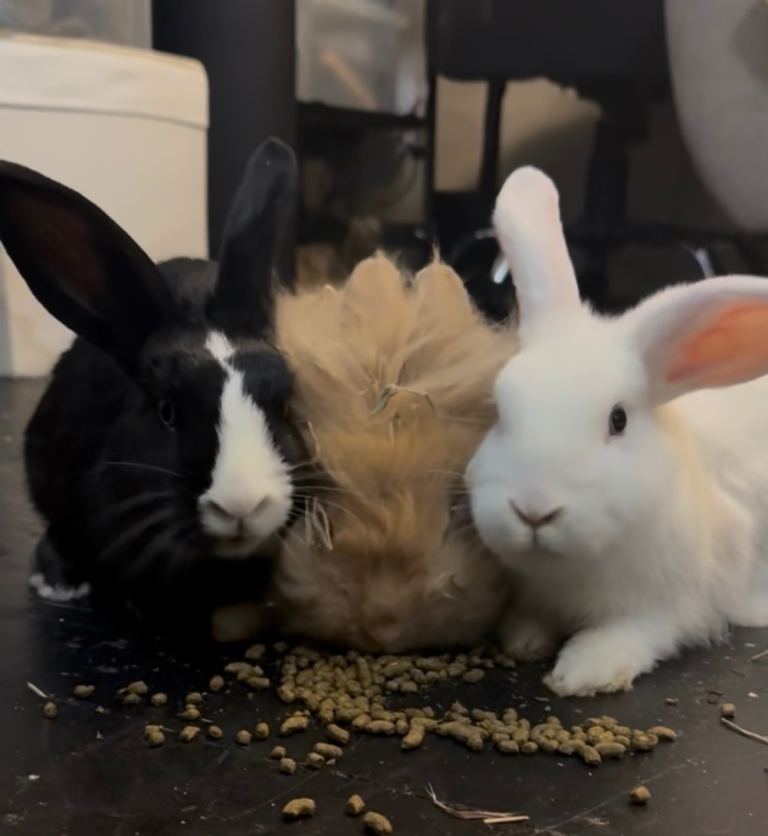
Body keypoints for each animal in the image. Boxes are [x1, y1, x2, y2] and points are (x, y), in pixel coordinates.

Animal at [466, 165, 768, 696]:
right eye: (500, 409)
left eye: (618, 419)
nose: (534, 511)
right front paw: (524, 639)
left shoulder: (674, 605)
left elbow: (638, 632)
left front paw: (583, 672)